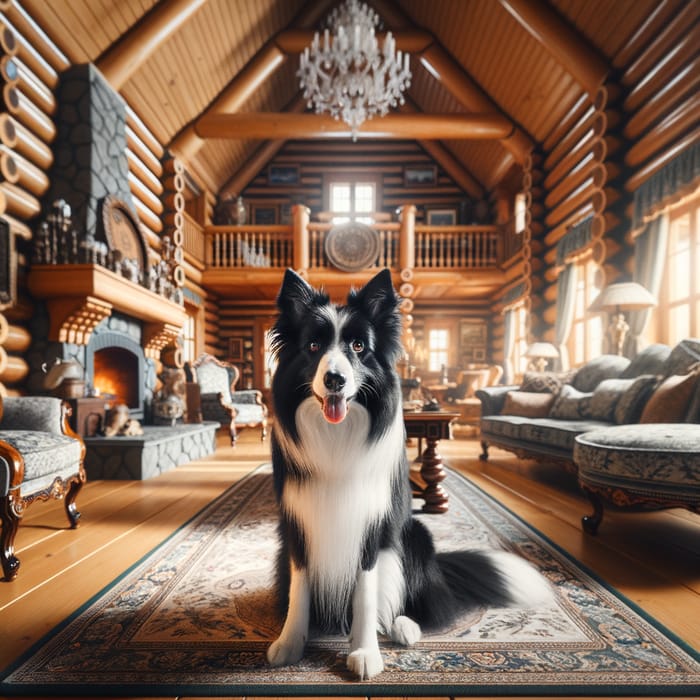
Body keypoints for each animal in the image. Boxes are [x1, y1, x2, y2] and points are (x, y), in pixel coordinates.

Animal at [266, 270, 548, 680]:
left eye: (358, 346)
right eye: (314, 345)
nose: (335, 380)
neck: (337, 436)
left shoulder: (373, 528)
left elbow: (366, 595)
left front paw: (365, 651)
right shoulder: (299, 524)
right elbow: (299, 591)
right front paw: (290, 642)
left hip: (414, 534)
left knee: (412, 603)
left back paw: (403, 626)